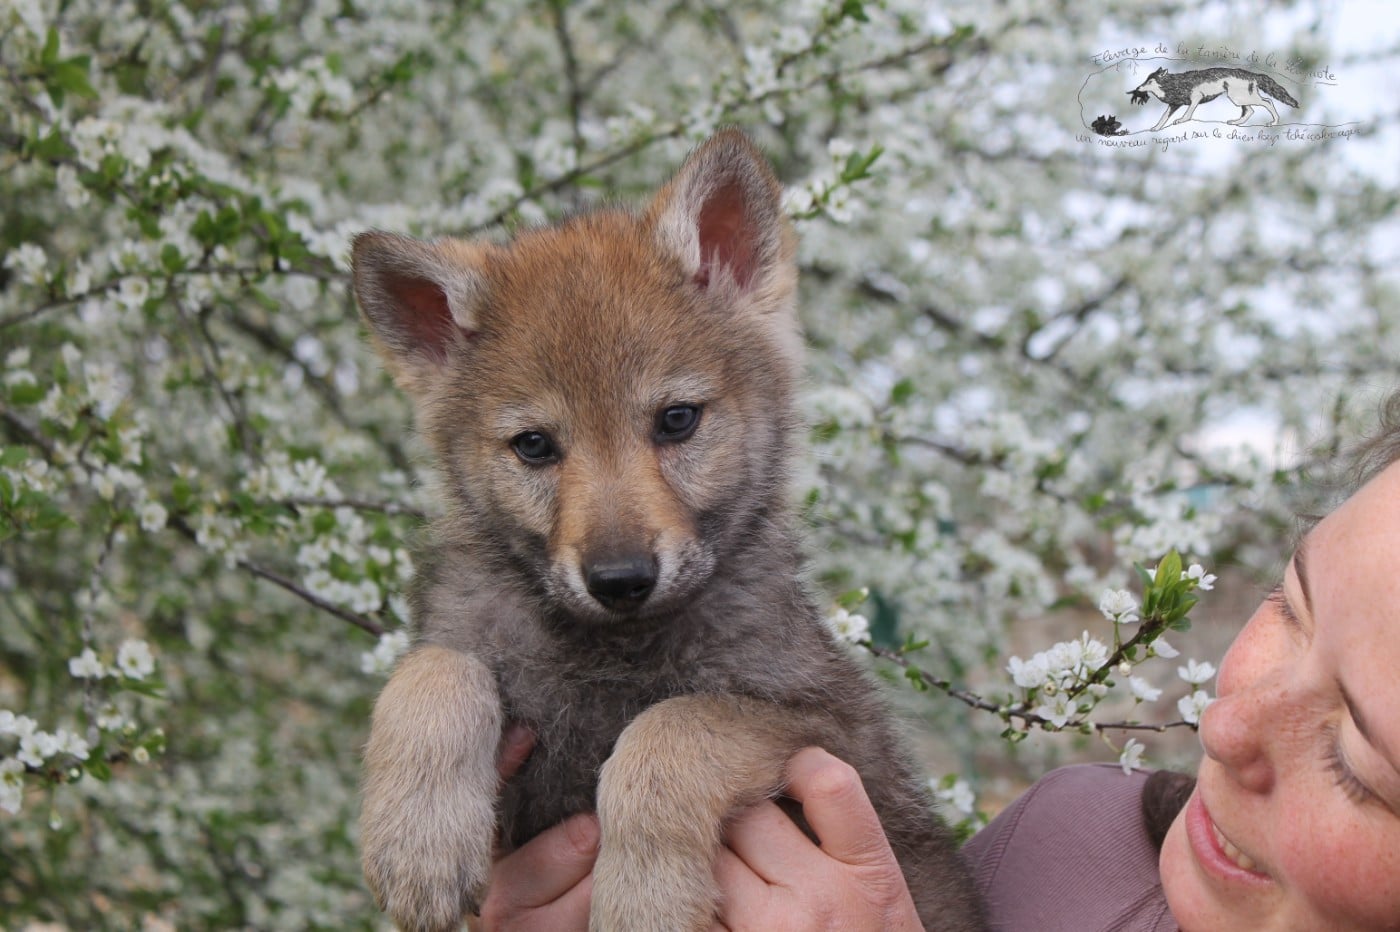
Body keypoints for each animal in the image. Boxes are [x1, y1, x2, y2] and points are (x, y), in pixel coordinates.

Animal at [351, 129, 986, 932]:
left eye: (677, 420)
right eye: (534, 445)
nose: (621, 580)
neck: (612, 654)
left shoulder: (826, 730)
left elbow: (670, 730)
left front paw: (642, 899)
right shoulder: (470, 653)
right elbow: (431, 673)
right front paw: (418, 843)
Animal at [1129, 66, 1300, 131]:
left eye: (1149, 82)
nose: (1137, 89)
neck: (1173, 84)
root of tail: (1253, 74)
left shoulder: (1196, 98)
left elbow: (1188, 114)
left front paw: (1181, 120)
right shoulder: (1174, 105)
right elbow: (1163, 117)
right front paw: (1156, 128)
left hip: (1240, 98)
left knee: (1267, 102)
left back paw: (1274, 122)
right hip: (1239, 99)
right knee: (1250, 111)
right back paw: (1235, 122)